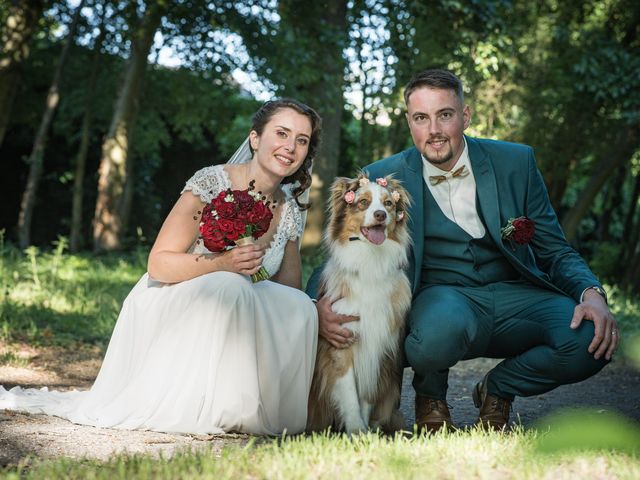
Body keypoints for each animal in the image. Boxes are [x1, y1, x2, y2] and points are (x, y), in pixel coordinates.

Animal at [308, 173, 412, 436]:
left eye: (388, 204)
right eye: (363, 202)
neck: (369, 264)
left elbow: (365, 395)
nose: (381, 215)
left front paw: (364, 431)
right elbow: (349, 394)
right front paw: (356, 430)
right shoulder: (341, 345)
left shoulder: (376, 343)